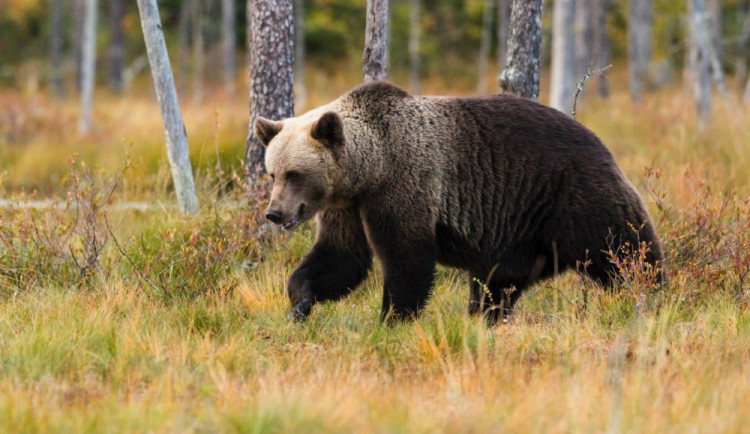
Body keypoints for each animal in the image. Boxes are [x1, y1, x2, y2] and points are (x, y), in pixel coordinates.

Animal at [258, 82, 664, 326]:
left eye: (295, 173)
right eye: (272, 173)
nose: (274, 213)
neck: (370, 169)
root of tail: (601, 143)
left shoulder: (406, 185)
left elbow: (407, 259)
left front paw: (392, 319)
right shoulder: (347, 207)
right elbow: (341, 257)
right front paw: (299, 303)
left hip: (574, 197)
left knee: (626, 249)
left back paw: (652, 294)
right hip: (518, 236)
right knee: (497, 285)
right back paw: (487, 318)